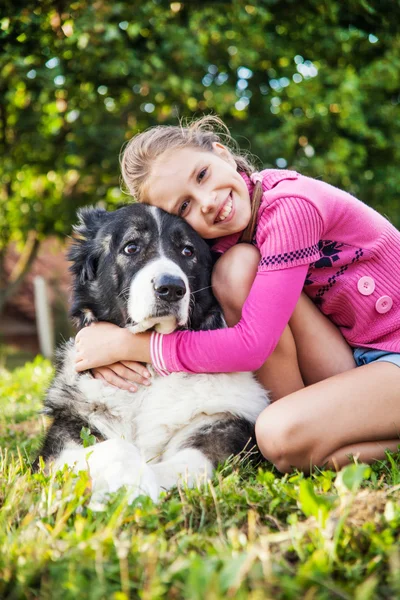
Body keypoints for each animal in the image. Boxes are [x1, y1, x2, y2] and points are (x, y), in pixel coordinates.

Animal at [34, 204, 270, 504]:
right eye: (131, 247)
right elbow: (118, 448)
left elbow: (189, 462)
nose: (171, 288)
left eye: (188, 251)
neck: (150, 371)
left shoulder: (219, 426)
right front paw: (129, 485)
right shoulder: (62, 443)